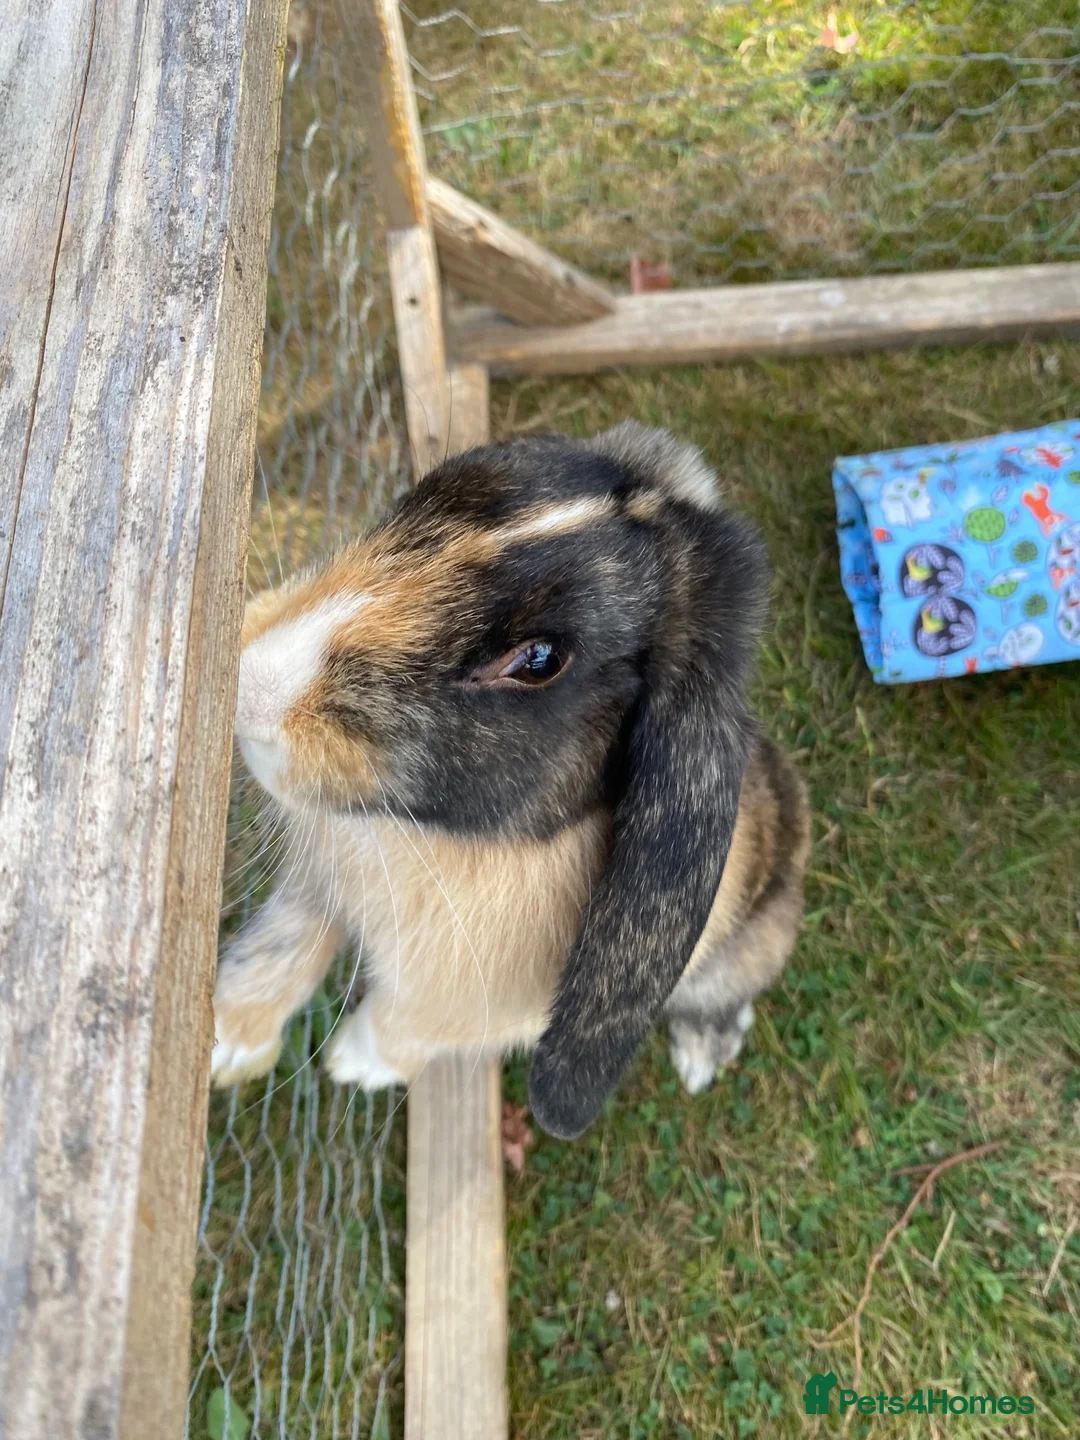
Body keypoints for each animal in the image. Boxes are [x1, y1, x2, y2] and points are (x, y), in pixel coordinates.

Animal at [212, 421, 810, 1139]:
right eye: (431, 488)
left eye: (538, 661)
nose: (251, 687)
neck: (438, 842)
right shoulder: (316, 883)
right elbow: (284, 941)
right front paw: (226, 1042)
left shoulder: (468, 1010)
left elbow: (403, 1028)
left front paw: (353, 1063)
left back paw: (700, 1053)